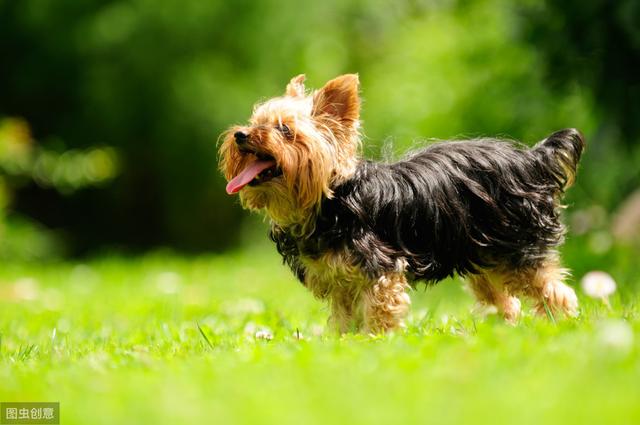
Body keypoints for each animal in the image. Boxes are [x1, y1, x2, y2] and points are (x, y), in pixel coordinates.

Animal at [220, 72, 584, 332]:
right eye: (255, 123)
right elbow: (343, 320)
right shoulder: (340, 283)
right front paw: (343, 344)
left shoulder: (381, 270)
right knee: (505, 302)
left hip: (519, 248)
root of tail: (532, 159)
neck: (327, 201)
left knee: (555, 291)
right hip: (483, 255)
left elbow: (380, 312)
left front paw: (375, 342)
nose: (241, 135)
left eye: (285, 130)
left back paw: (562, 327)